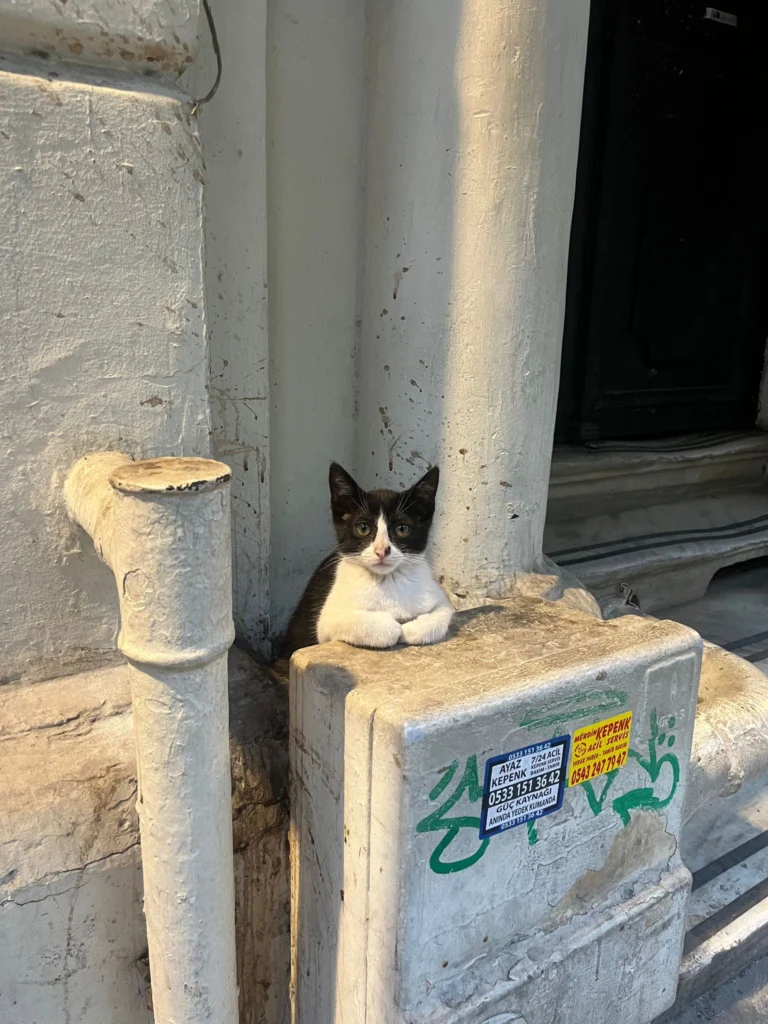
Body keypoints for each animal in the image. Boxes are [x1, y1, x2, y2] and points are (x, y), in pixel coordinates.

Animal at [280, 462, 450, 655]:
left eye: (402, 529)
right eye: (363, 528)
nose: (381, 550)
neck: (386, 581)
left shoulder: (438, 597)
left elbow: (444, 612)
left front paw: (411, 629)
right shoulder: (325, 622)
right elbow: (353, 622)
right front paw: (391, 627)